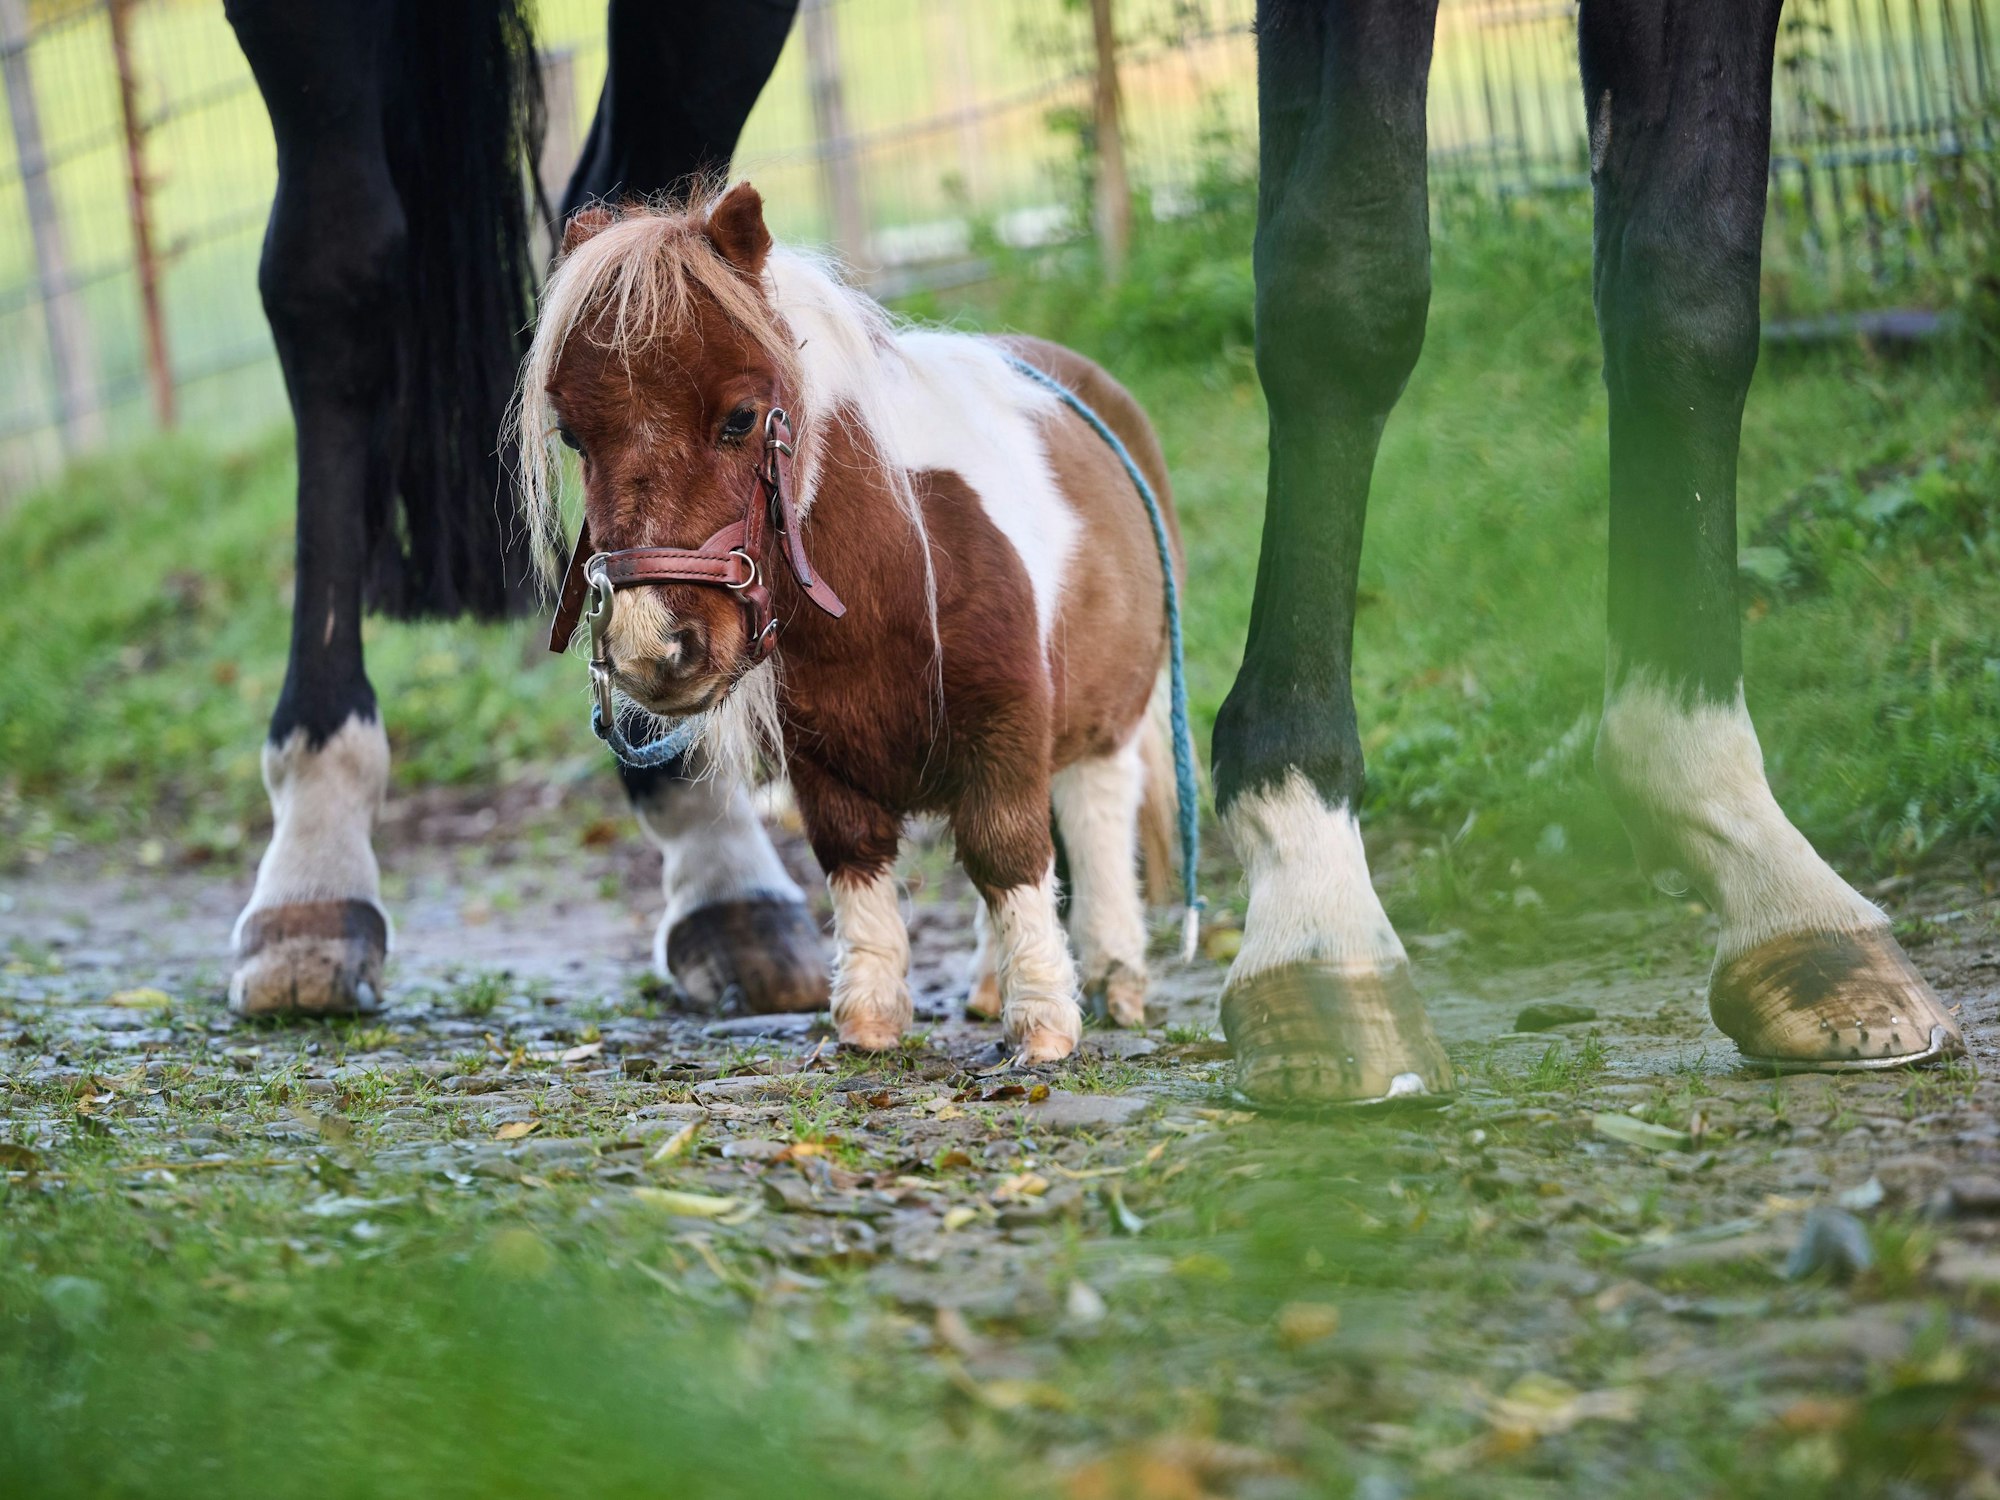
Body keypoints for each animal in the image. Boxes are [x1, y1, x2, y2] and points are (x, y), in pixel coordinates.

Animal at [515, 186, 1184, 1062]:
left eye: (741, 418)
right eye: (573, 436)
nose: (650, 650)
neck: (895, 571)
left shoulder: (1008, 729)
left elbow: (1007, 855)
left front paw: (1044, 1023)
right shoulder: (823, 759)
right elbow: (855, 858)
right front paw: (870, 1021)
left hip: (1110, 722)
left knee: (1097, 817)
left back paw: (1113, 973)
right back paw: (987, 984)